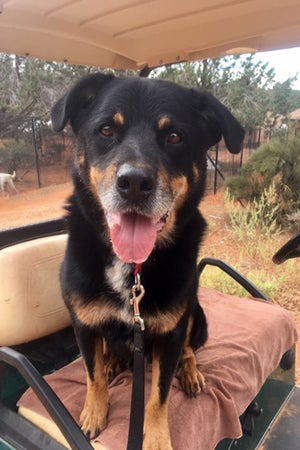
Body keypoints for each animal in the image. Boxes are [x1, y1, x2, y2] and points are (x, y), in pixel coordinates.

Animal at [51, 72, 244, 448]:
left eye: (174, 136)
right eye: (106, 130)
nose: (135, 183)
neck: (133, 269)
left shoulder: (170, 334)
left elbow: (159, 396)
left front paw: (156, 437)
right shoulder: (83, 324)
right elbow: (93, 374)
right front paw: (94, 412)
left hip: (195, 316)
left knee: (190, 350)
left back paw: (191, 372)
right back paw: (114, 361)